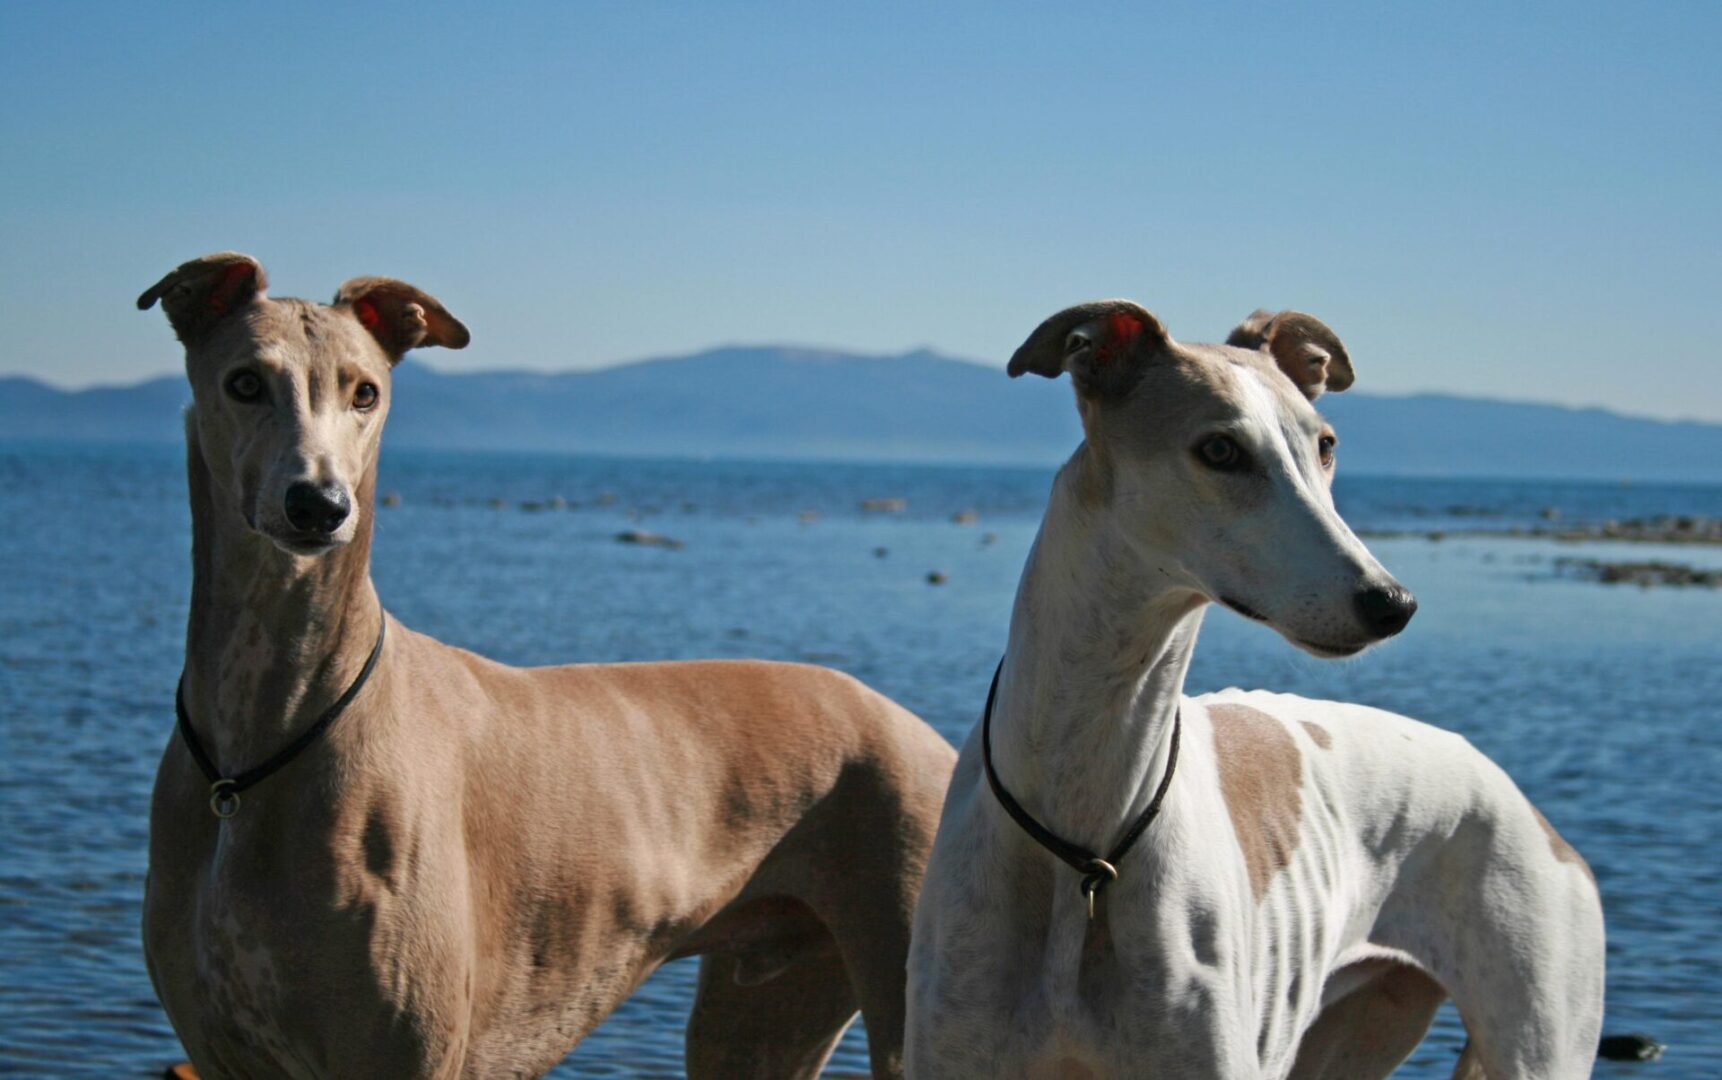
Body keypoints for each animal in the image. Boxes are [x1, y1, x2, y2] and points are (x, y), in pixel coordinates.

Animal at [137, 254, 957, 1080]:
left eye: (364, 391)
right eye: (245, 381)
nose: (320, 505)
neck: (263, 743)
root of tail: (927, 735)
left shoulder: (409, 1052)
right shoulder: (220, 1052)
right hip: (763, 1007)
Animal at [909, 299, 1604, 1074]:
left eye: (1325, 444)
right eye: (1219, 450)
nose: (1392, 603)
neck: (1085, 838)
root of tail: (1522, 801)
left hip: (1537, 1027)